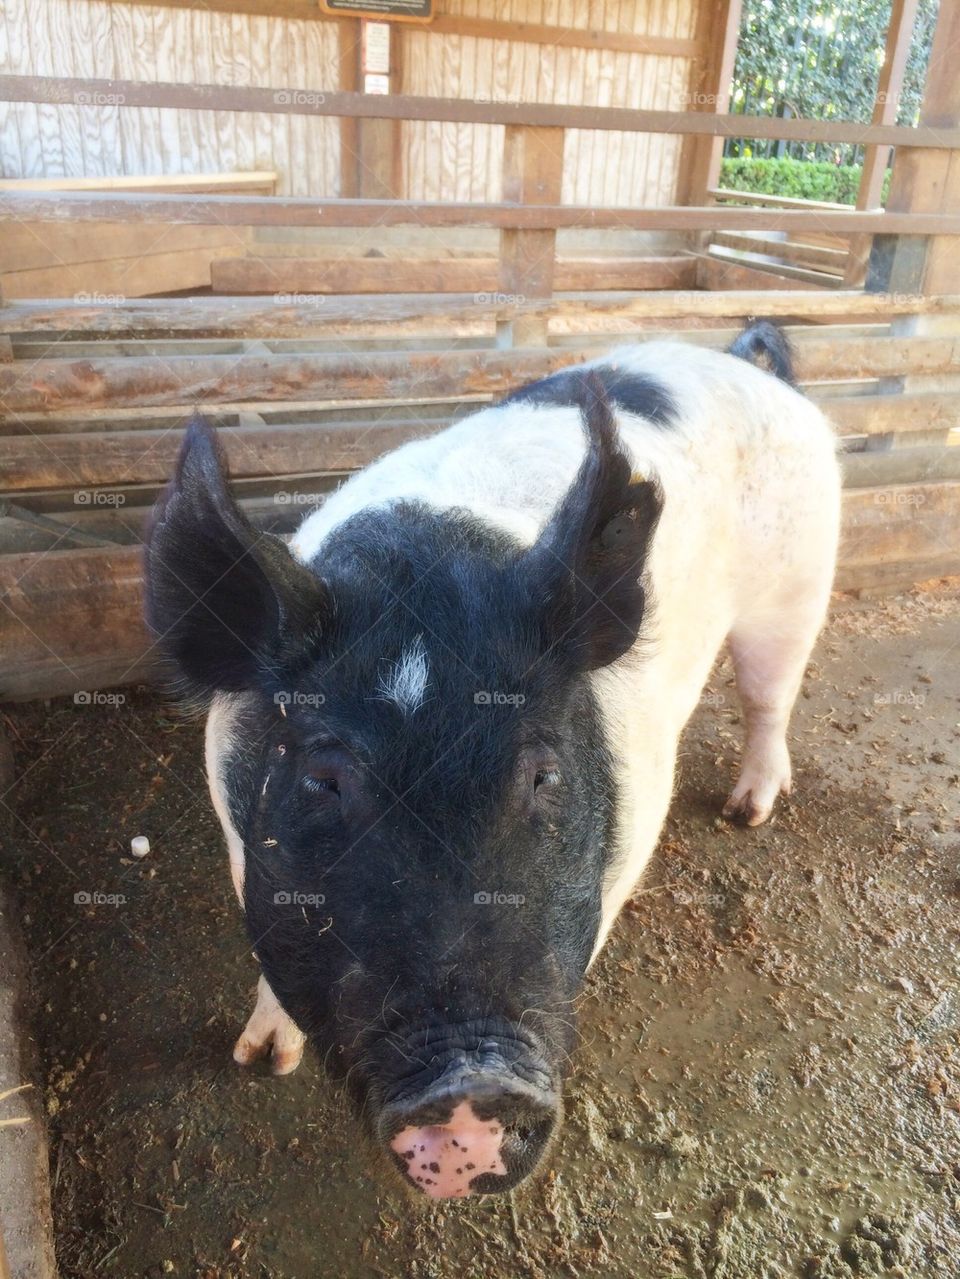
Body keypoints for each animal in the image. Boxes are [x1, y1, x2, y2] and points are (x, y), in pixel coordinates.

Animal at [144, 323, 840, 1200]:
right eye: (321, 780)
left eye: (542, 774)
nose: (471, 1084)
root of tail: (747, 365)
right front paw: (263, 1060)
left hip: (799, 585)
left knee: (771, 695)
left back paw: (747, 810)